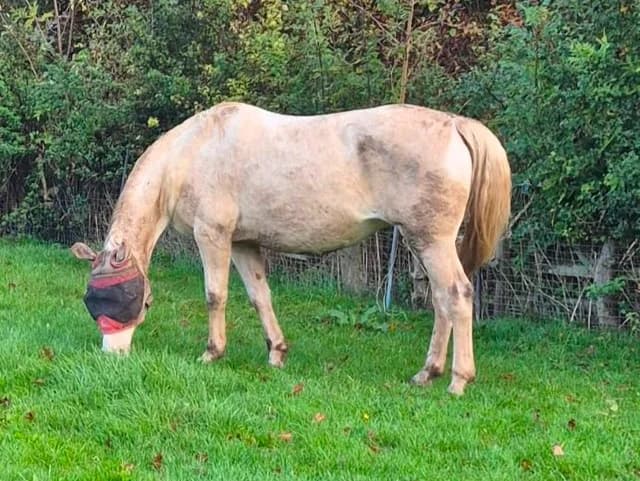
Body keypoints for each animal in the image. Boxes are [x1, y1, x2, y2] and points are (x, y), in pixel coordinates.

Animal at [71, 102, 511, 395]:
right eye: (92, 303)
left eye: (138, 302)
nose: (113, 355)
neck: (193, 152)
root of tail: (455, 125)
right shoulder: (243, 243)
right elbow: (259, 296)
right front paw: (276, 353)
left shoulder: (212, 234)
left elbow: (216, 295)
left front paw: (212, 353)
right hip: (425, 242)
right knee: (440, 301)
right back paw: (428, 372)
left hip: (432, 241)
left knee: (456, 296)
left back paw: (457, 381)